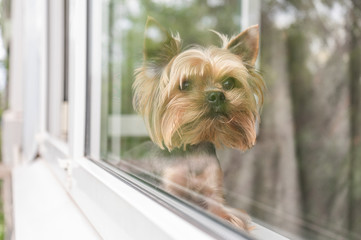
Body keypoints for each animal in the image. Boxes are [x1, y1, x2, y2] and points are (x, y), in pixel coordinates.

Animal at [130, 16, 264, 231]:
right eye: (185, 85)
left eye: (228, 83)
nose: (217, 95)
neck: (193, 148)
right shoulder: (171, 187)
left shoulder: (213, 187)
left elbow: (220, 211)